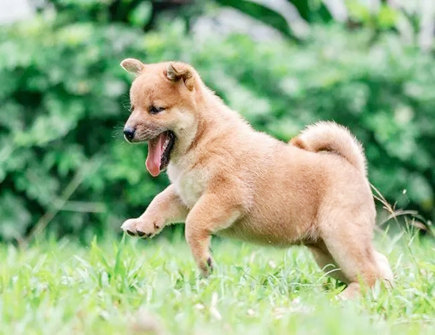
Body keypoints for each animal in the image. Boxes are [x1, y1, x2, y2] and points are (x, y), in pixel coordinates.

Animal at [120, 58, 396, 300]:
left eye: (156, 109)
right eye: (132, 109)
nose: (127, 132)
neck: (203, 138)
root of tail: (352, 165)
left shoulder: (225, 195)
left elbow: (193, 224)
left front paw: (204, 261)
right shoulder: (186, 195)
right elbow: (160, 202)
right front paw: (142, 224)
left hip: (341, 237)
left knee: (369, 273)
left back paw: (346, 298)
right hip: (327, 254)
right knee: (377, 265)